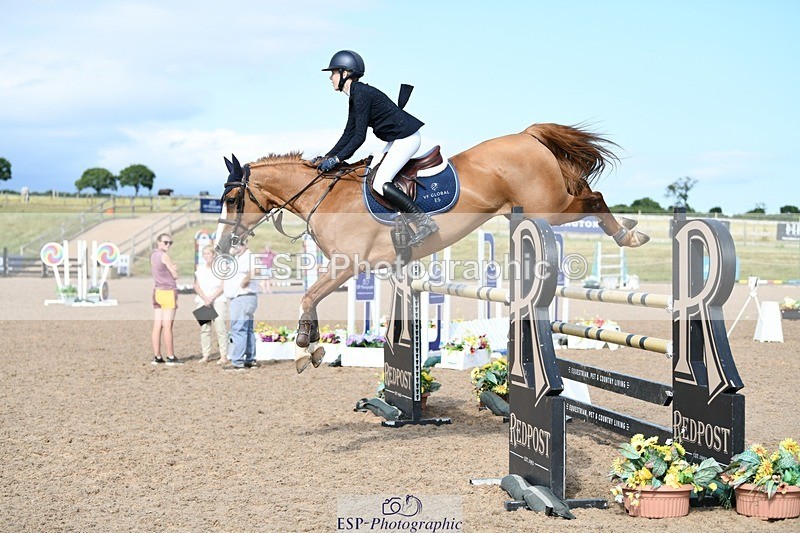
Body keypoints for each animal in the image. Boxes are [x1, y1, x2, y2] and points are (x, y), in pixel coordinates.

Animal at [215, 122, 649, 373]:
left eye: (233, 200)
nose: (222, 245)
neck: (326, 195)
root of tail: (527, 135)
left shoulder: (347, 264)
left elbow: (308, 297)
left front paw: (305, 351)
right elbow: (313, 299)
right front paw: (314, 347)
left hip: (551, 207)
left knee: (593, 198)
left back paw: (630, 234)